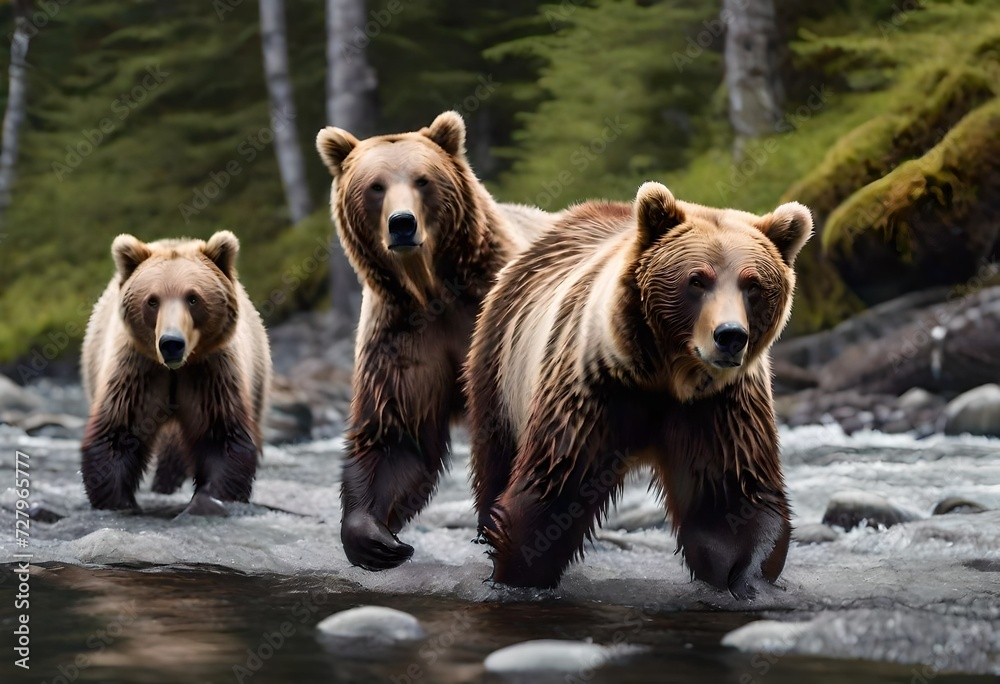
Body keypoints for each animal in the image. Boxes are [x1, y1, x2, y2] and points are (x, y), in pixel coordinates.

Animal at [80, 230, 272, 516]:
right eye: (152, 300)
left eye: (193, 298)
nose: (171, 342)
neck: (175, 369)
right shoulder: (136, 369)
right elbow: (118, 432)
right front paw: (118, 502)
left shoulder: (211, 371)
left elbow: (220, 435)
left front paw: (212, 498)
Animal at [315, 111, 557, 570]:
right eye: (375, 186)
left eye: (422, 179)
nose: (402, 223)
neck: (434, 288)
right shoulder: (403, 336)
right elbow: (397, 434)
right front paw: (377, 540)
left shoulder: (502, 320)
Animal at [465, 182, 812, 597]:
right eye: (697, 279)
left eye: (753, 284)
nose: (730, 336)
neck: (665, 377)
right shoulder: (595, 391)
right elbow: (554, 490)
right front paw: (517, 578)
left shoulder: (721, 407)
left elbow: (733, 502)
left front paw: (747, 581)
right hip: (502, 360)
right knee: (496, 454)